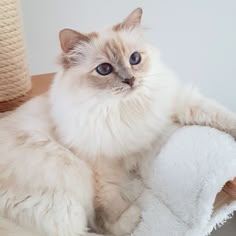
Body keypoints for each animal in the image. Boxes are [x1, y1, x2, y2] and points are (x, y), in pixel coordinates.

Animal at [0, 7, 236, 236]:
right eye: (104, 69)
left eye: (134, 59)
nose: (130, 80)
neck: (122, 108)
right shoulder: (101, 164)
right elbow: (110, 209)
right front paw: (130, 214)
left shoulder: (179, 102)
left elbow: (219, 114)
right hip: (73, 175)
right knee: (87, 228)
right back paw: (134, 215)